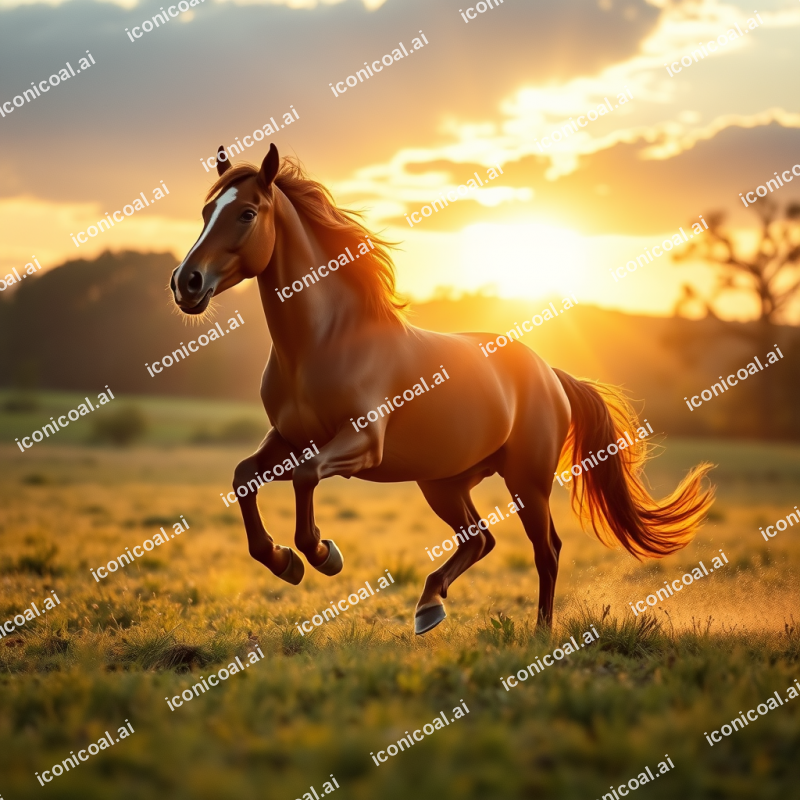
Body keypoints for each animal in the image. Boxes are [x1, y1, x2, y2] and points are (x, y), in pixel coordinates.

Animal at [170, 143, 714, 635]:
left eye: (246, 213)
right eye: (206, 212)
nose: (186, 283)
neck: (323, 344)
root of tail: (550, 373)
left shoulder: (360, 443)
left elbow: (305, 479)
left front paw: (322, 555)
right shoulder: (287, 438)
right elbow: (244, 477)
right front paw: (283, 560)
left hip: (527, 481)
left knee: (547, 550)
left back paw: (539, 633)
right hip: (444, 483)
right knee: (480, 541)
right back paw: (429, 606)